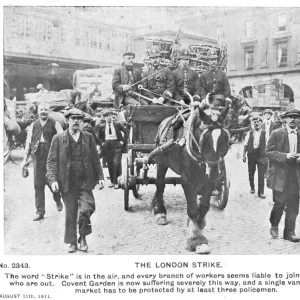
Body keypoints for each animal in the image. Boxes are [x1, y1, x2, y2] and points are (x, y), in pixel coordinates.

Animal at [150, 105, 230, 253]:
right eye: (204, 139)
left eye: (225, 141)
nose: (214, 171)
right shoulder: (187, 179)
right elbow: (192, 209)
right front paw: (195, 239)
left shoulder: (209, 181)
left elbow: (204, 206)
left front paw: (199, 224)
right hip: (162, 161)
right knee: (160, 184)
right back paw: (160, 211)